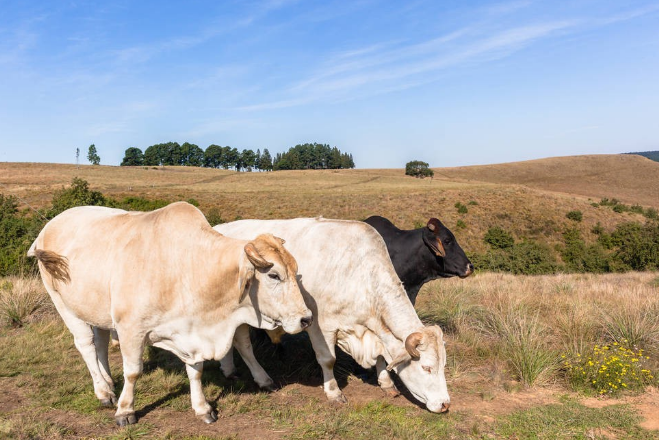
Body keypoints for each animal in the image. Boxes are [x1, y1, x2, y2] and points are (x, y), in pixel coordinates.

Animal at [28, 203, 312, 426]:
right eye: (274, 275)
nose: (306, 318)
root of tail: (48, 226)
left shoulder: (191, 332)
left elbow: (196, 370)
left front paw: (202, 408)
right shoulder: (130, 328)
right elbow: (133, 371)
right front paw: (125, 410)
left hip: (96, 310)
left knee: (99, 343)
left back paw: (108, 382)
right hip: (64, 304)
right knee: (86, 345)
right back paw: (103, 392)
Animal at [217, 218, 454, 414]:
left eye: (443, 366)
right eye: (426, 367)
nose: (445, 404)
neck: (358, 273)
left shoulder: (374, 328)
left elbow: (381, 357)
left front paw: (387, 383)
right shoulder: (320, 326)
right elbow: (328, 359)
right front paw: (333, 392)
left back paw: (229, 369)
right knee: (243, 345)